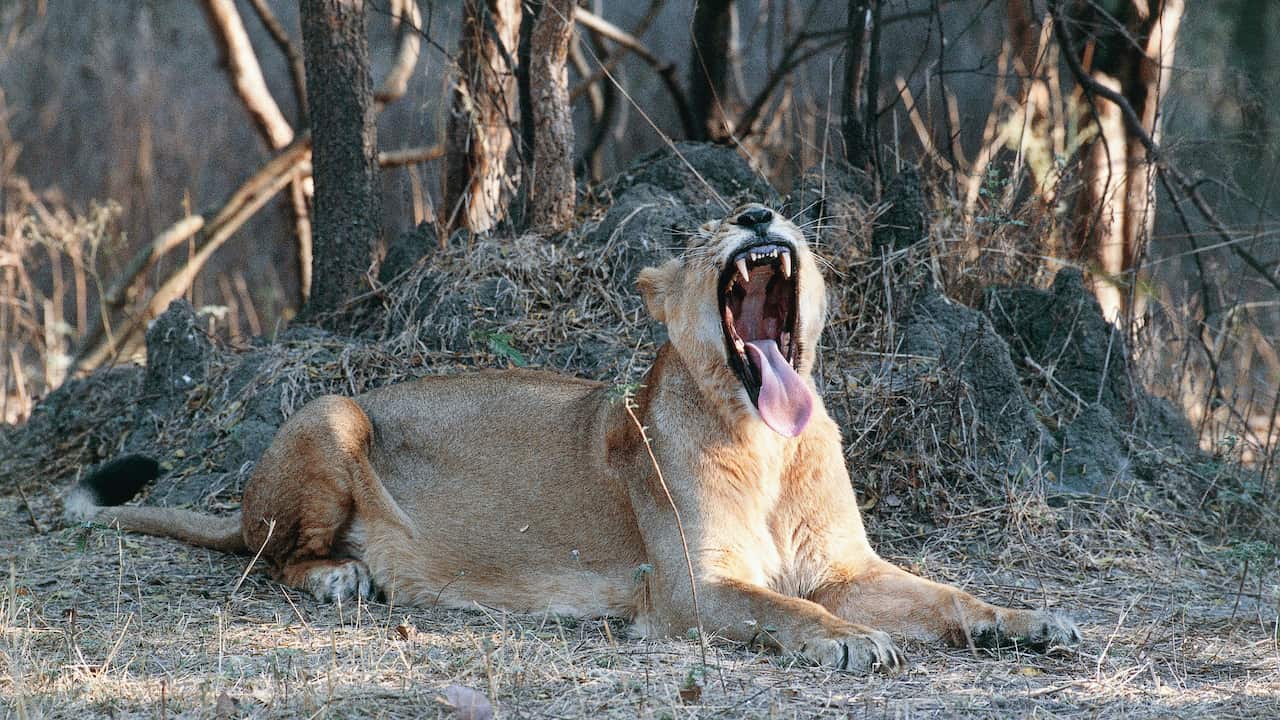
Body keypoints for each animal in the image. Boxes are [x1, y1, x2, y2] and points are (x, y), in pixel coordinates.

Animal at [66, 203, 1080, 672]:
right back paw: (340, 577)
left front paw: (1030, 621)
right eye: (708, 229)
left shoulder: (846, 568)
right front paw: (850, 644)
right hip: (333, 412)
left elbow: (947, 594)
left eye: (769, 207)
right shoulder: (692, 590)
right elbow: (789, 612)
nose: (757, 214)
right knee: (265, 557)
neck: (770, 443)